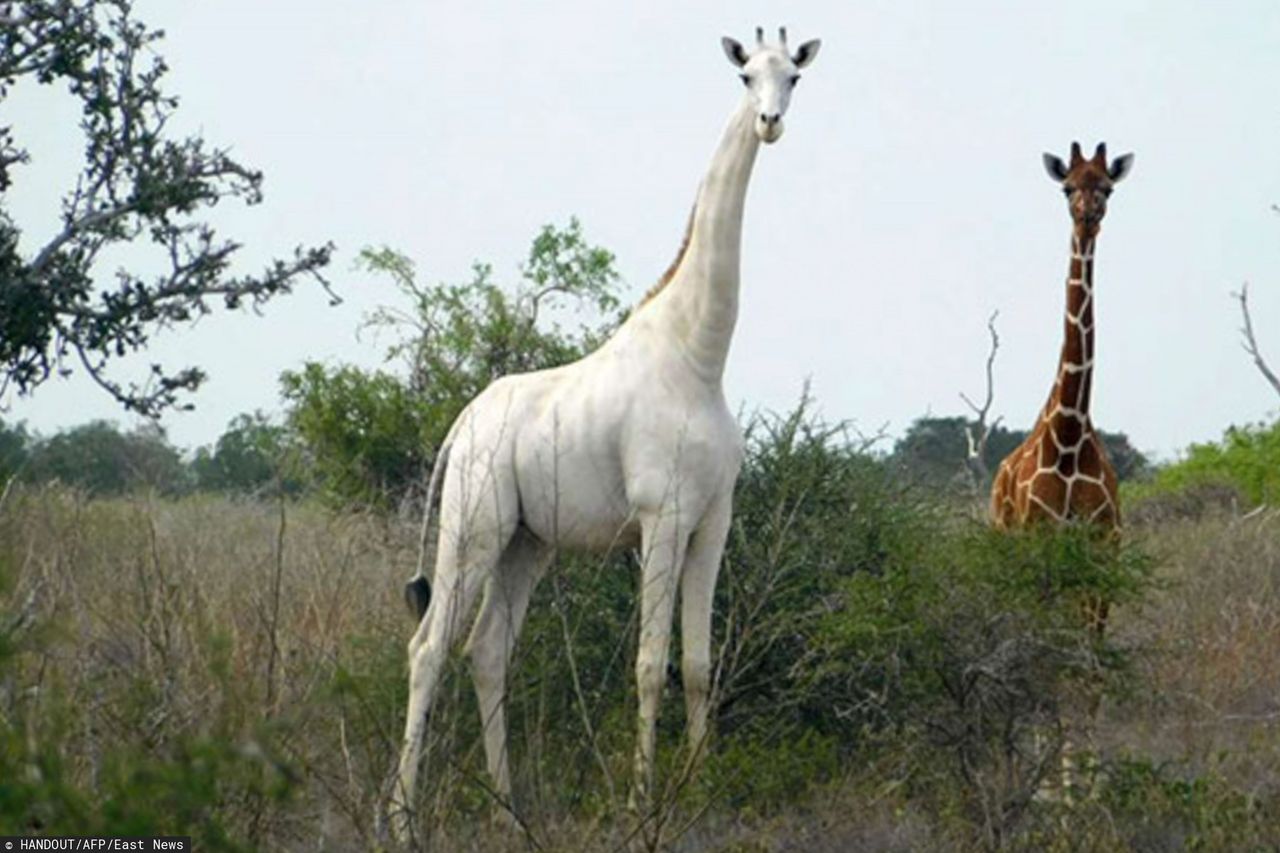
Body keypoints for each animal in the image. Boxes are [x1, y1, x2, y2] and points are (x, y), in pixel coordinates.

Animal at [389, 24, 824, 829]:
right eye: (745, 75)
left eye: (795, 78)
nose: (769, 123)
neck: (699, 355)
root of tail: (460, 425)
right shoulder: (662, 516)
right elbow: (650, 663)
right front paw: (640, 801)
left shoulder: (714, 520)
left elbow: (698, 664)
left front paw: (697, 794)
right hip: (474, 525)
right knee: (428, 647)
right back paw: (402, 817)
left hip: (527, 542)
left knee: (487, 650)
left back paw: (509, 810)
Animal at [983, 142, 1136, 535]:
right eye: (1067, 188)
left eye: (1107, 189)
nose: (1087, 217)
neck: (1068, 435)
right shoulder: (1038, 528)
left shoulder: (1107, 533)